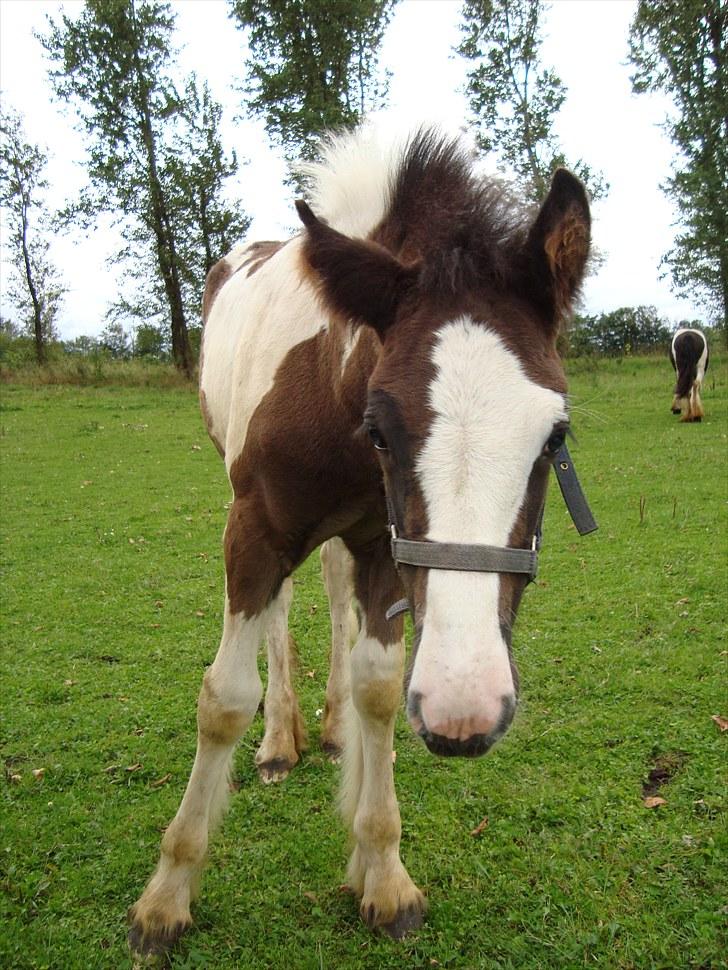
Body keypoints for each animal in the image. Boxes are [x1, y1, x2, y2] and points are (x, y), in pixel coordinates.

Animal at [126, 123, 592, 952]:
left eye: (555, 436)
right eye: (380, 428)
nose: (465, 711)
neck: (329, 382)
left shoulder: (384, 543)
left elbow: (378, 684)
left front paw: (382, 873)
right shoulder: (253, 528)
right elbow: (224, 697)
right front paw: (166, 895)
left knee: (333, 592)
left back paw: (331, 728)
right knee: (280, 616)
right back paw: (280, 742)